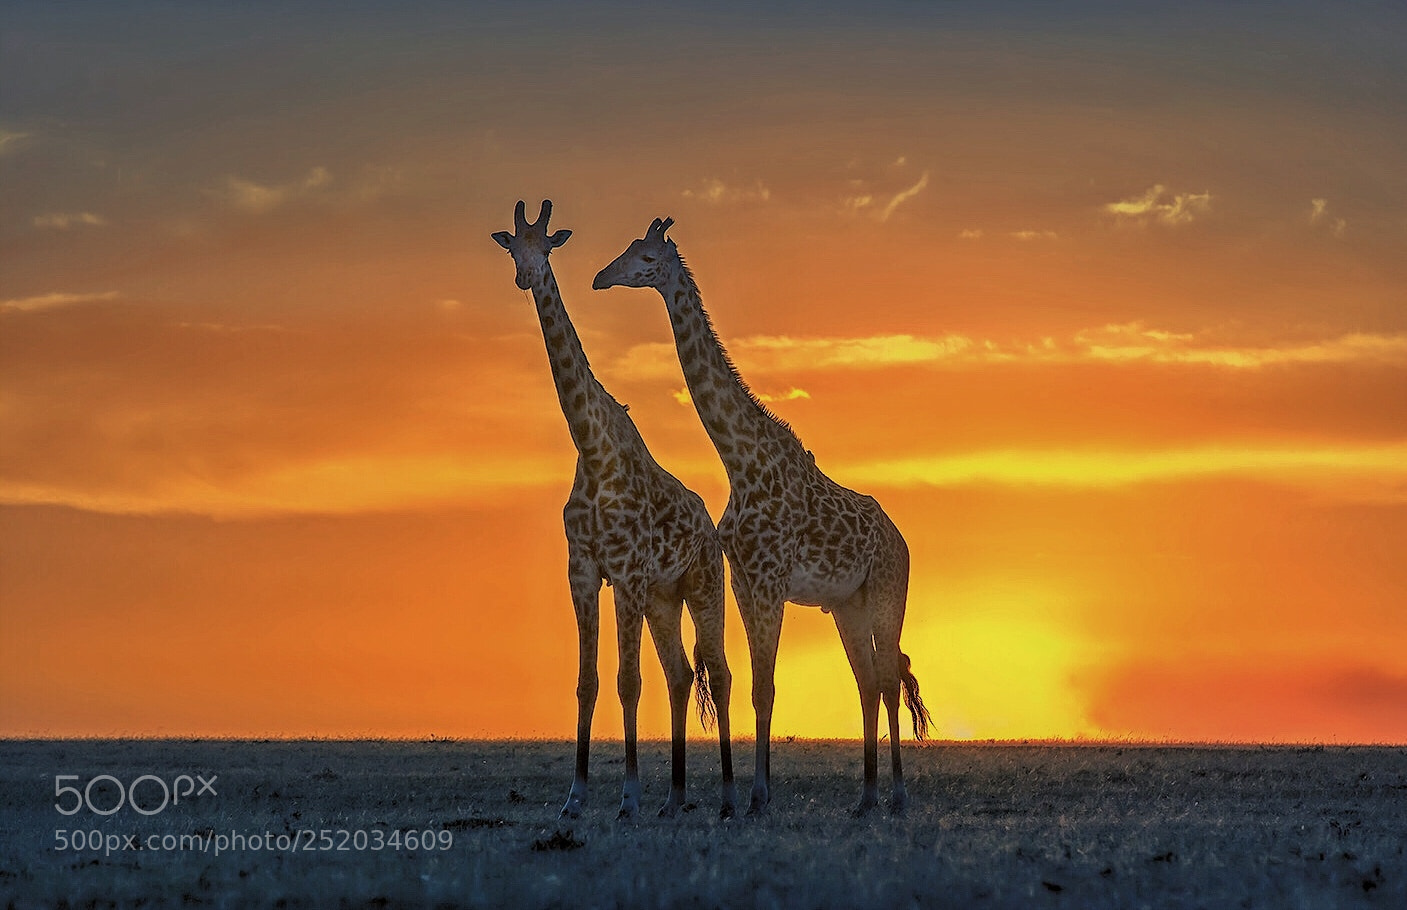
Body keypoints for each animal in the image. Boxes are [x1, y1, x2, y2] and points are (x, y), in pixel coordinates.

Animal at [492, 201, 735, 819]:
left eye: (546, 246)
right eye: (513, 248)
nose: (526, 277)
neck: (592, 448)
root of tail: (710, 528)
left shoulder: (625, 573)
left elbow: (628, 681)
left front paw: (627, 797)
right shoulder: (582, 570)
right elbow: (589, 681)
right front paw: (575, 798)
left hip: (702, 585)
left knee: (718, 673)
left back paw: (725, 797)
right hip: (662, 598)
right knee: (680, 674)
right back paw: (674, 798)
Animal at [593, 217, 934, 817]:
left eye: (646, 257)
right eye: (627, 249)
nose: (601, 277)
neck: (739, 459)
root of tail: (902, 540)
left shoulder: (772, 578)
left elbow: (767, 685)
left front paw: (756, 795)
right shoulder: (746, 579)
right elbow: (758, 683)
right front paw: (759, 791)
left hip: (890, 590)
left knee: (890, 680)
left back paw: (895, 796)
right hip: (848, 604)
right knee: (869, 683)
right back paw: (866, 797)